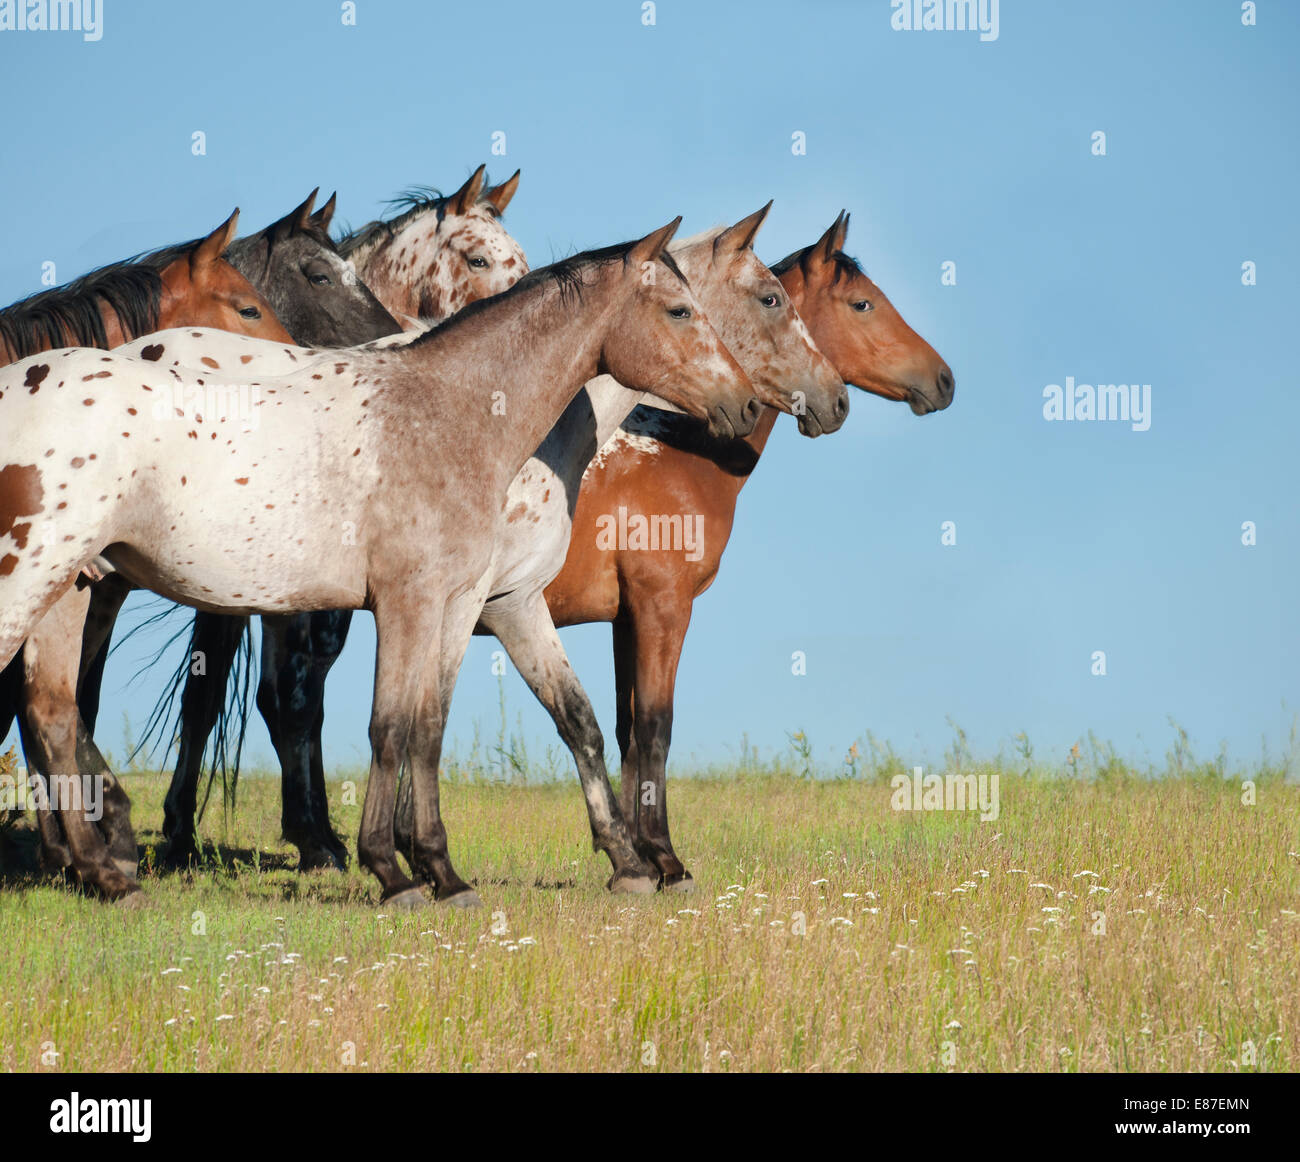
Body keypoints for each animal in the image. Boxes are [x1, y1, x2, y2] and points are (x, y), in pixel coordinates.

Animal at [538, 211, 955, 889]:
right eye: (863, 303)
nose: (943, 380)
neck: (677, 451)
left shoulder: (627, 619)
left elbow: (628, 731)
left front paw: (637, 860)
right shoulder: (664, 609)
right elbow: (655, 729)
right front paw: (664, 862)